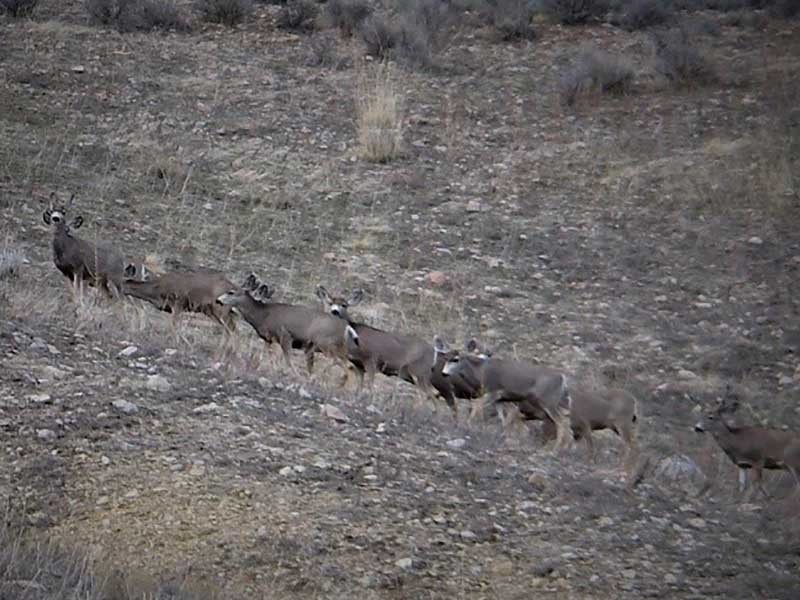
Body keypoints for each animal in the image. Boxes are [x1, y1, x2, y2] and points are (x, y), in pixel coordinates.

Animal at [217, 275, 351, 377]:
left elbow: (287, 360)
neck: (262, 315)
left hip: (325, 343)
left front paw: (293, 374)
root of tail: (345, 328)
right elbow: (270, 357)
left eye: (231, 292)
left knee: (341, 362)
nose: (218, 300)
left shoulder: (285, 335)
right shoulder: (268, 339)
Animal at [316, 286, 465, 415]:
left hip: (420, 372)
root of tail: (434, 352)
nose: (334, 311)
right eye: (330, 303)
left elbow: (370, 384)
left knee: (432, 396)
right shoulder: (358, 365)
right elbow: (360, 385)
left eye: (344, 305)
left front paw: (370, 402)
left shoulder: (371, 359)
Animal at [433, 336, 572, 451]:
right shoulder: (501, 399)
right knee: (566, 421)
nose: (444, 373)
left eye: (456, 359)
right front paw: (504, 437)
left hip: (547, 401)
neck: (481, 372)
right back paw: (565, 447)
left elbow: (477, 407)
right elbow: (503, 419)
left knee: (562, 422)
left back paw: (556, 449)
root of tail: (562, 379)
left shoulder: (493, 392)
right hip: (553, 403)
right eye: (445, 358)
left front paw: (467, 426)